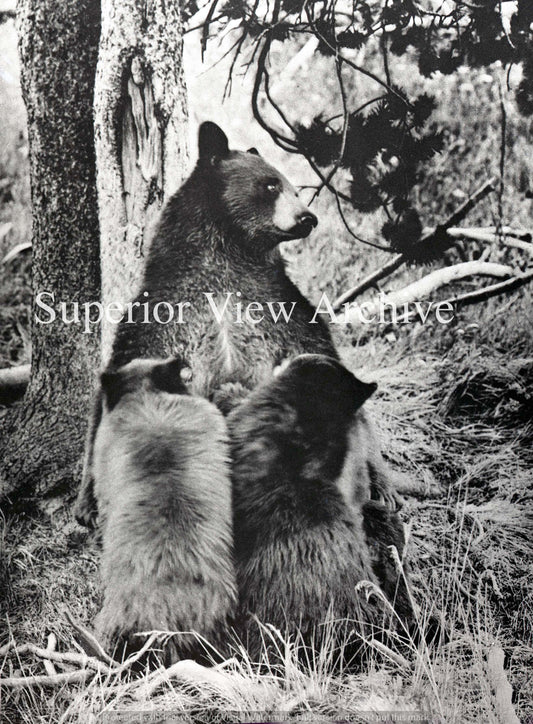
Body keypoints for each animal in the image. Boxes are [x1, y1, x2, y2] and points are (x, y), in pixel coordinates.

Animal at [74, 121, 338, 528]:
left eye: (294, 188)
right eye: (270, 185)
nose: (308, 218)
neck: (229, 254)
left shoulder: (276, 301)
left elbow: (315, 348)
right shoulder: (163, 311)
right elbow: (120, 375)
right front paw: (87, 502)